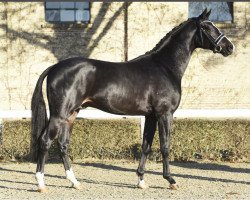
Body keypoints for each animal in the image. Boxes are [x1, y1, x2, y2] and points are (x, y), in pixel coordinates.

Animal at [30, 9, 234, 192]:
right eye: (207, 27)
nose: (229, 47)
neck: (165, 67)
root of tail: (55, 67)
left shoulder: (150, 116)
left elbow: (146, 146)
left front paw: (141, 181)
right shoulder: (165, 114)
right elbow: (165, 146)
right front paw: (171, 180)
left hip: (71, 114)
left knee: (63, 144)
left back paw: (75, 182)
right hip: (60, 114)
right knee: (46, 141)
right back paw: (41, 183)